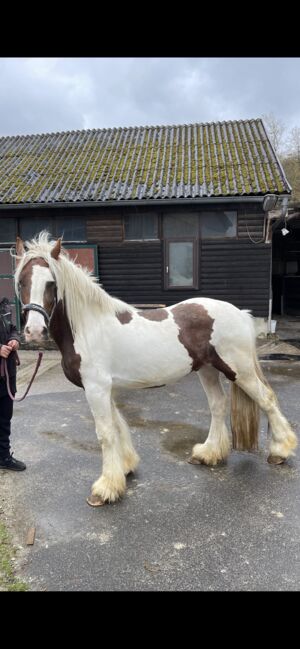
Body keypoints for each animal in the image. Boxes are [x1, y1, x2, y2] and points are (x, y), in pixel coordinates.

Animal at [14, 233, 298, 506]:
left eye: (51, 283)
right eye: (21, 282)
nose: (35, 331)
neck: (88, 327)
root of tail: (240, 313)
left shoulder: (96, 388)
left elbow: (105, 433)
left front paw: (105, 489)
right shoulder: (105, 389)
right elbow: (118, 426)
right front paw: (125, 468)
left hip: (238, 369)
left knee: (266, 399)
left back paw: (280, 450)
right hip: (207, 370)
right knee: (218, 405)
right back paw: (208, 453)